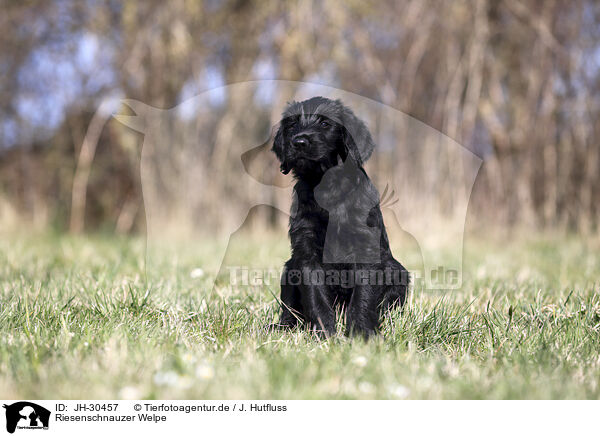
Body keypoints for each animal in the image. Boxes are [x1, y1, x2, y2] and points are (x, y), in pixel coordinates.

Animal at [272, 97, 408, 338]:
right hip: (289, 267)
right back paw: (281, 327)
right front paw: (324, 334)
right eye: (292, 125)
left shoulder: (366, 249)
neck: (327, 187)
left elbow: (362, 297)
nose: (299, 142)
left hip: (397, 271)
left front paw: (362, 333)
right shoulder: (306, 253)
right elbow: (316, 297)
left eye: (325, 123)